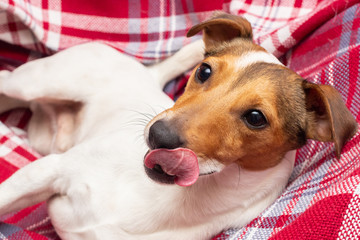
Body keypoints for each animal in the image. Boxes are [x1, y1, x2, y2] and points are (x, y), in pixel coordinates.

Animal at [0, 12, 356, 240]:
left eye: (256, 118)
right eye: (204, 71)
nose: (158, 135)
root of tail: (147, 74)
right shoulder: (49, 170)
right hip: (32, 84)